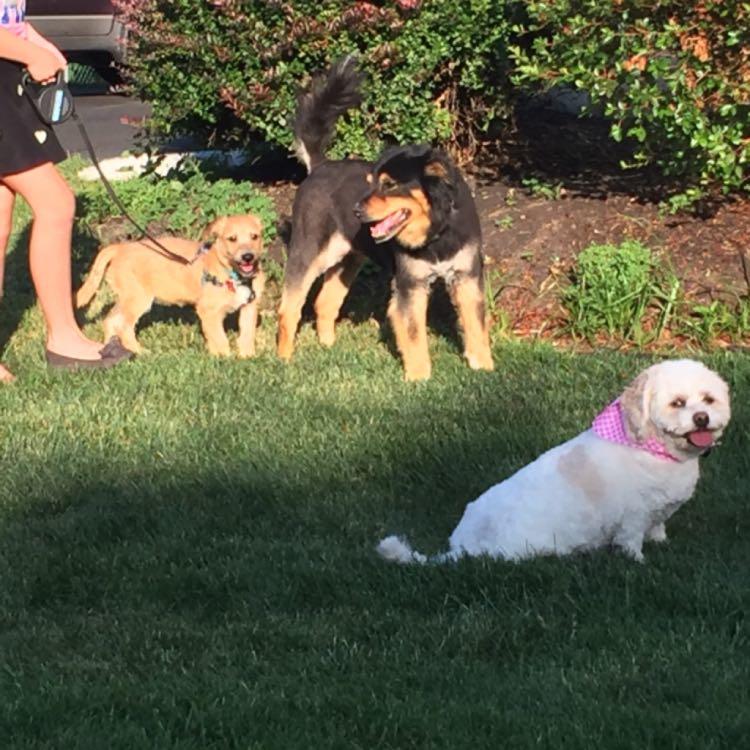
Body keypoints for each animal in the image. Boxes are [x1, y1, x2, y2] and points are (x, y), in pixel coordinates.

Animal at [78, 216, 266, 360]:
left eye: (254, 236)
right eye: (232, 238)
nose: (248, 257)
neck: (234, 276)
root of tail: (119, 248)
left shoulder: (249, 308)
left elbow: (247, 335)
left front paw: (247, 357)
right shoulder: (208, 311)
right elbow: (220, 338)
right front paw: (224, 358)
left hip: (127, 298)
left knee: (110, 320)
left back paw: (111, 349)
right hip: (138, 299)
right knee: (124, 326)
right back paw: (140, 352)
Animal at [280, 56, 496, 382]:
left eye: (389, 185)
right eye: (371, 183)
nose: (356, 211)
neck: (437, 234)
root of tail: (319, 166)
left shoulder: (467, 277)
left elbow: (476, 326)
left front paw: (484, 368)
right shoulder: (410, 285)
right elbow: (414, 333)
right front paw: (419, 377)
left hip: (348, 259)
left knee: (324, 301)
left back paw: (328, 347)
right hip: (309, 251)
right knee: (289, 305)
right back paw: (282, 358)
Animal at [378, 360, 732, 564]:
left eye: (709, 399)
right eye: (677, 403)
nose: (702, 418)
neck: (651, 446)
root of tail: (465, 546)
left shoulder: (657, 512)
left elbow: (658, 528)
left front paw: (661, 543)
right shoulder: (634, 514)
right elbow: (631, 541)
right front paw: (639, 562)